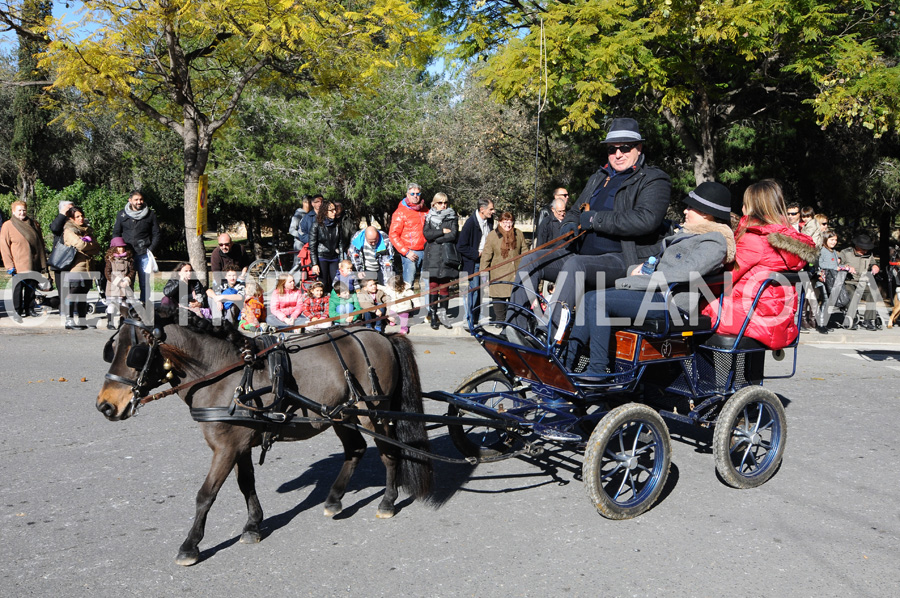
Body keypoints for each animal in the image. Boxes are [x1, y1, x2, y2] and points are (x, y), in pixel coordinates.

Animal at [96, 310, 434, 568]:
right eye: (112, 350)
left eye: (134, 354)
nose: (105, 406)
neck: (223, 374)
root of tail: (383, 336)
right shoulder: (239, 445)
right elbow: (246, 484)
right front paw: (253, 525)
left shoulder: (226, 448)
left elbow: (206, 494)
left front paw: (190, 545)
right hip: (342, 414)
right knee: (356, 449)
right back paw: (335, 499)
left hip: (372, 413)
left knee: (389, 453)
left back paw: (388, 501)